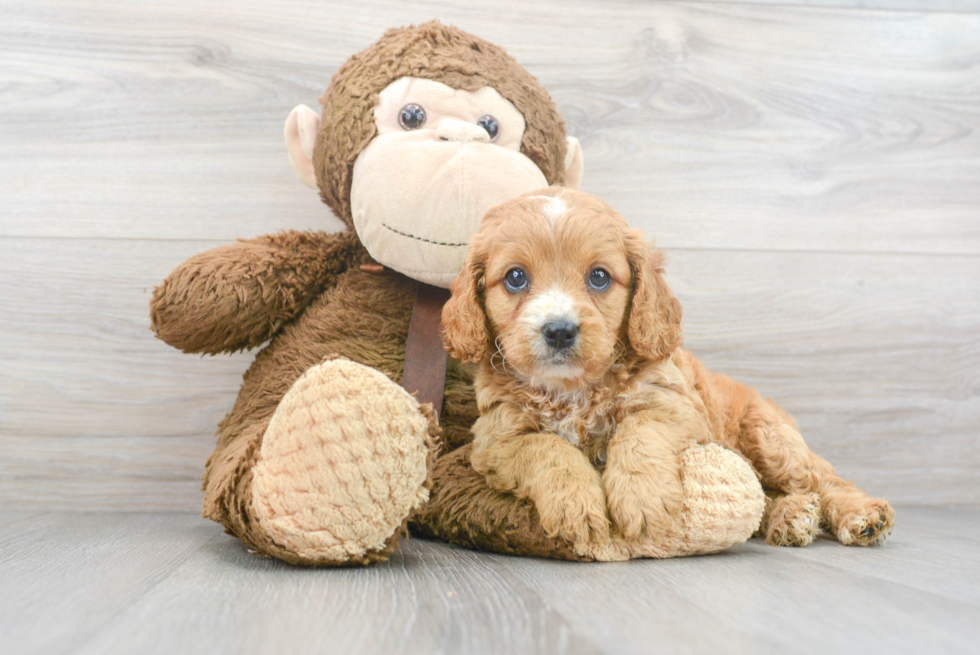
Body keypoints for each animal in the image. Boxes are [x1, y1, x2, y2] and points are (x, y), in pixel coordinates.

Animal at [444, 187, 896, 552]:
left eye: (599, 277)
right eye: (515, 278)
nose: (559, 330)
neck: (574, 388)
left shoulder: (676, 406)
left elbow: (638, 430)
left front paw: (641, 498)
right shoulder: (498, 437)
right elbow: (547, 449)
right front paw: (577, 506)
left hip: (769, 437)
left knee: (822, 479)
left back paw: (860, 515)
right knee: (764, 496)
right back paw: (792, 516)